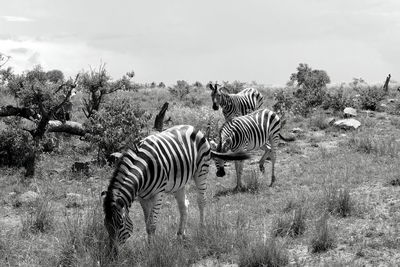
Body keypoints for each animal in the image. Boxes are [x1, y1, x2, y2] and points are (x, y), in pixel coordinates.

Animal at [101, 125, 250, 258]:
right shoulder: (142, 197)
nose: (112, 255)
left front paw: (152, 250)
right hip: (179, 184)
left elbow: (151, 224)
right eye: (105, 225)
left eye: (120, 225)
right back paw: (180, 234)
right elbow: (147, 222)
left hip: (201, 171)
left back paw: (202, 229)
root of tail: (194, 127)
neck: (143, 169)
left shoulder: (158, 193)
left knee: (201, 201)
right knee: (184, 206)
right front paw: (150, 246)